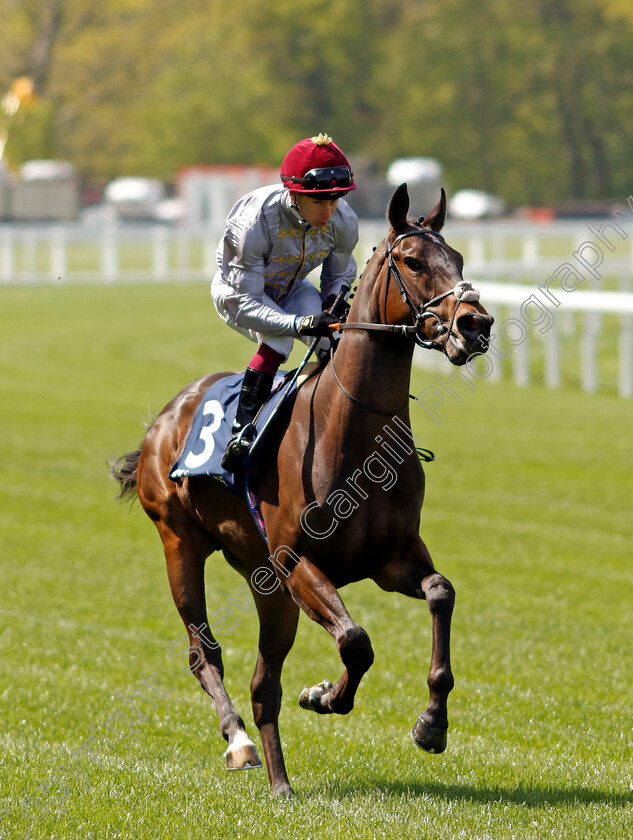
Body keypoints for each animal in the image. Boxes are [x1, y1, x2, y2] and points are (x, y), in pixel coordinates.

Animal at [111, 184, 492, 796]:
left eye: (456, 257)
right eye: (413, 261)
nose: (477, 324)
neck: (355, 432)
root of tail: (165, 417)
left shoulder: (390, 557)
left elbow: (440, 592)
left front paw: (431, 724)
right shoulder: (296, 561)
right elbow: (355, 640)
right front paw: (326, 696)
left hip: (265, 584)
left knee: (264, 684)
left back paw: (279, 781)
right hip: (181, 544)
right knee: (203, 651)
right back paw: (240, 744)